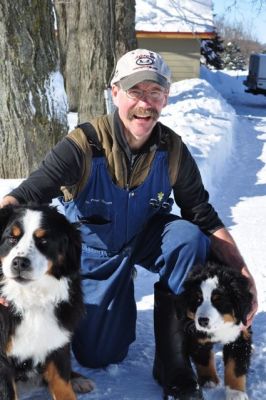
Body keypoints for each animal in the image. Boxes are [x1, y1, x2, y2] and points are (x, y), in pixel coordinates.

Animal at [0, 206, 87, 400]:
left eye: (44, 240)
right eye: (11, 238)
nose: (19, 262)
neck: (31, 299)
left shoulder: (57, 342)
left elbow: (62, 385)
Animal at [182, 260, 252, 400]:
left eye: (218, 300)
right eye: (198, 299)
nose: (202, 321)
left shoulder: (240, 335)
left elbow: (234, 367)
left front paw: (236, 393)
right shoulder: (196, 334)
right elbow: (203, 357)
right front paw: (209, 379)